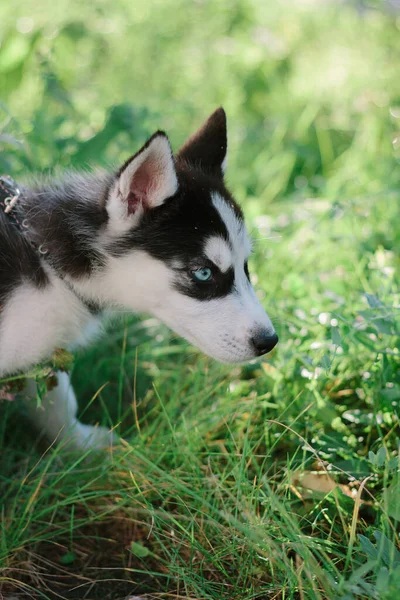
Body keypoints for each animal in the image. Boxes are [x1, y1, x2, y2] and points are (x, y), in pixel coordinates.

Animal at [0, 108, 278, 448]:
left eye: (245, 265)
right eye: (202, 272)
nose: (269, 341)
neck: (51, 266)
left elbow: (58, 402)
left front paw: (81, 445)